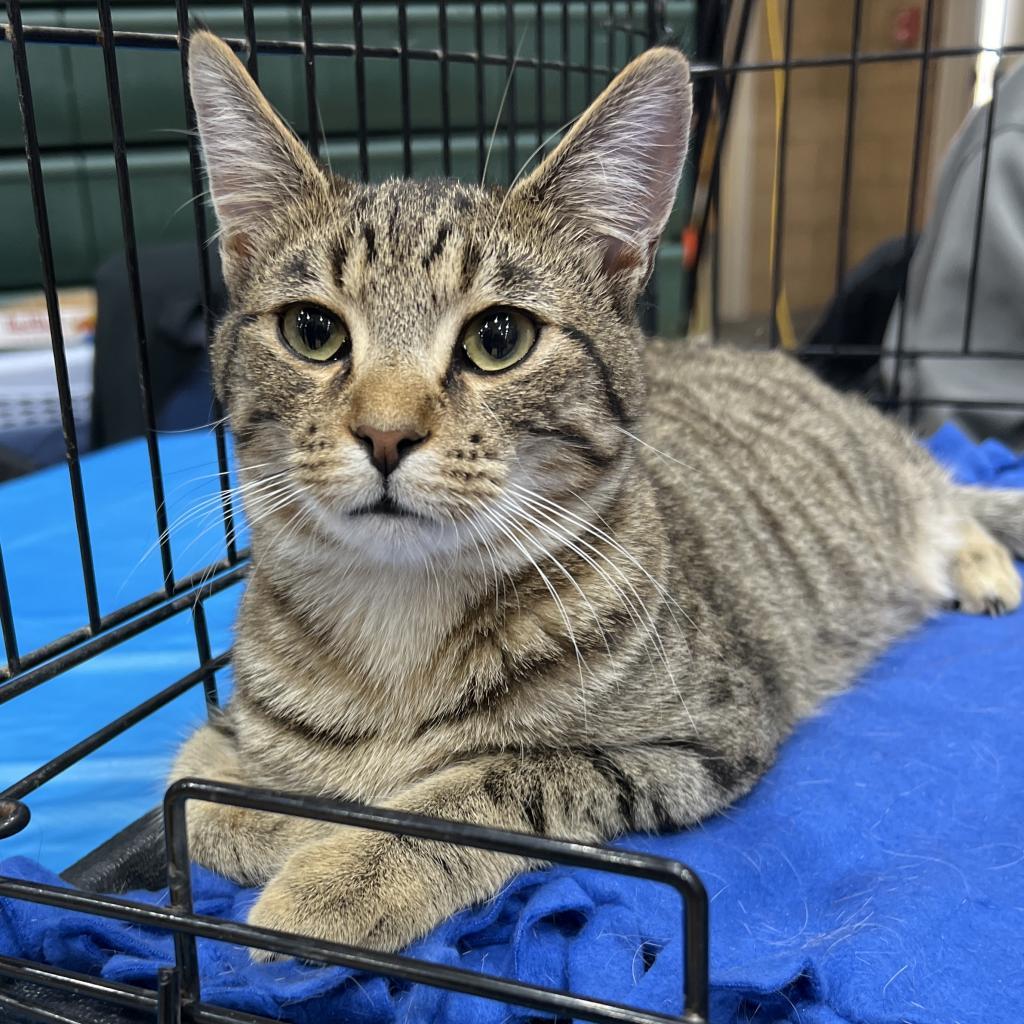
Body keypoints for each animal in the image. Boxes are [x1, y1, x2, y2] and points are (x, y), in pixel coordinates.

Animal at [174, 34, 1024, 958]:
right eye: (312, 331)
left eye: (499, 337)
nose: (386, 433)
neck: (399, 621)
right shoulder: (222, 731)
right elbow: (194, 803)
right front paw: (301, 821)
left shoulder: (699, 741)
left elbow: (485, 792)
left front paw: (337, 872)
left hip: (890, 480)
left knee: (952, 497)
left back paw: (985, 566)